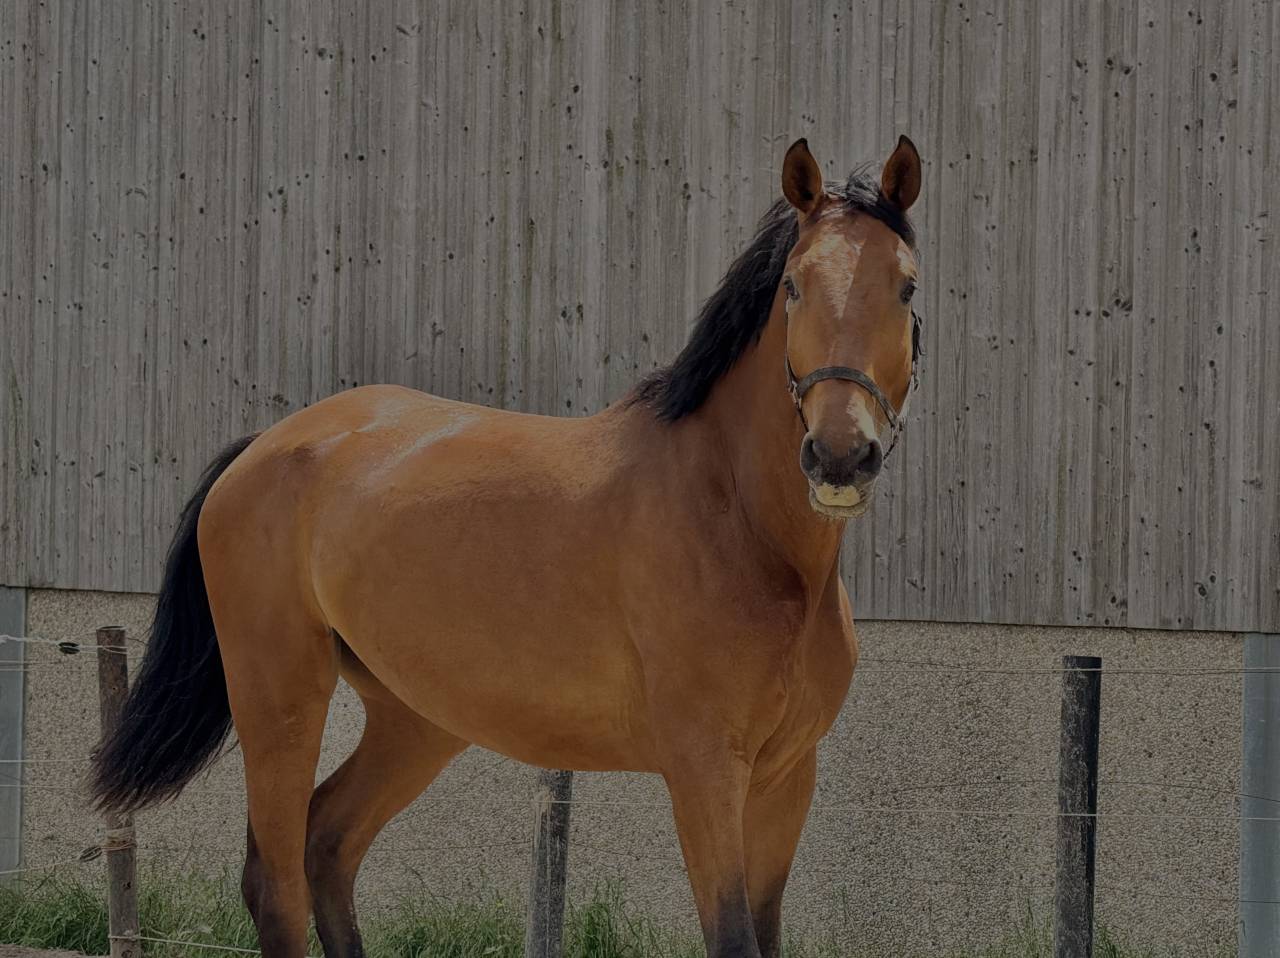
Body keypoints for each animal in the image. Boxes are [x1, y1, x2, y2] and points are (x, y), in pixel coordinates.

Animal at [91, 135, 923, 958]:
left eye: (908, 287)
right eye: (792, 287)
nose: (840, 456)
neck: (743, 526)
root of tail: (266, 447)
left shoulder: (785, 777)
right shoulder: (705, 770)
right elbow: (732, 937)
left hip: (414, 719)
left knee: (326, 843)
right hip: (280, 697)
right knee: (277, 883)